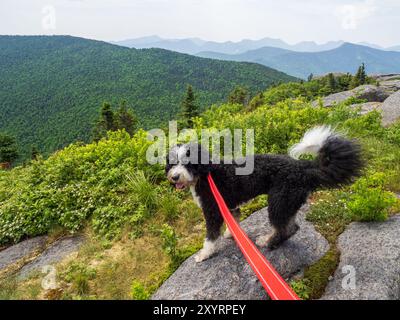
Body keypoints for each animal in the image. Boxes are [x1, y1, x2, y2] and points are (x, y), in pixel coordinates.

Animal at [165, 125, 362, 262]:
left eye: (188, 163)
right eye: (173, 163)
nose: (174, 177)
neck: (206, 174)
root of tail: (304, 168)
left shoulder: (212, 211)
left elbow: (210, 237)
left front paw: (204, 254)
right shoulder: (229, 205)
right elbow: (233, 219)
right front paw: (231, 234)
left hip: (278, 201)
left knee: (285, 229)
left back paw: (268, 242)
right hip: (286, 202)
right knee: (292, 227)